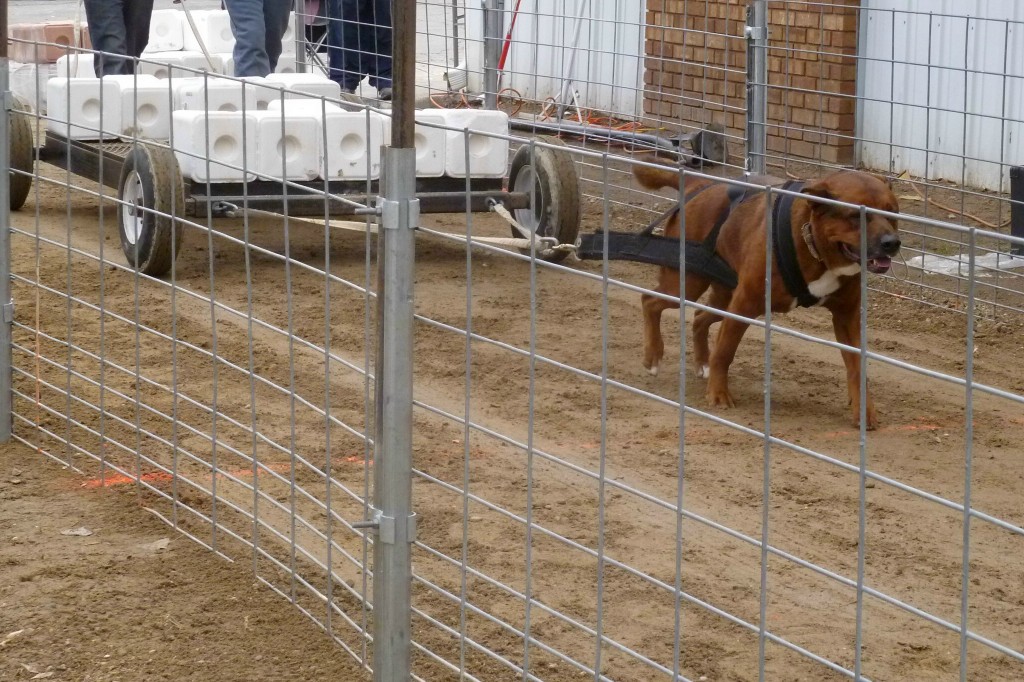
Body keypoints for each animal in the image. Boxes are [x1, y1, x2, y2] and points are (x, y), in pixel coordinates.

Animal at [634, 164, 901, 428]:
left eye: (893, 213)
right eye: (856, 216)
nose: (892, 243)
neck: (815, 246)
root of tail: (699, 184)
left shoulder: (847, 318)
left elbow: (858, 368)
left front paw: (863, 411)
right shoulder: (744, 305)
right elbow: (725, 351)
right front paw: (718, 394)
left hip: (723, 295)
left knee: (699, 317)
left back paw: (702, 363)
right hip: (688, 283)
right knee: (649, 301)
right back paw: (653, 356)